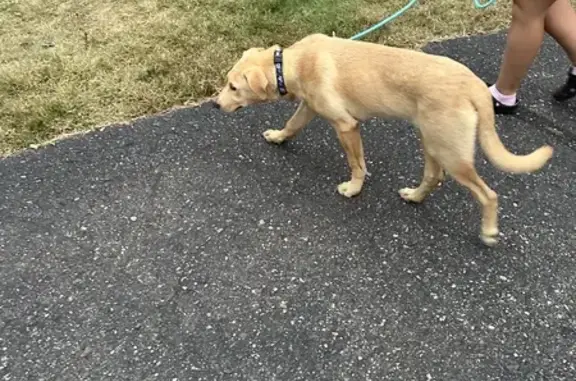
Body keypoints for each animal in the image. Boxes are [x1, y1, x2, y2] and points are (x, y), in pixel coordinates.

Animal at [213, 34, 552, 245]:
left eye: (233, 87)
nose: (215, 105)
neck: (293, 63)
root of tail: (475, 86)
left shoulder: (346, 126)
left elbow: (357, 164)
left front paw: (353, 189)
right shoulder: (309, 107)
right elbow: (292, 125)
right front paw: (278, 136)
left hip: (452, 153)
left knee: (488, 194)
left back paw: (489, 231)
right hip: (432, 141)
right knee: (434, 176)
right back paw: (414, 197)